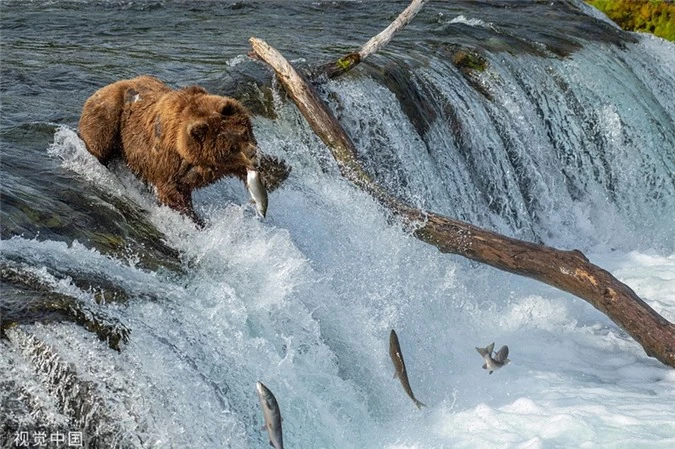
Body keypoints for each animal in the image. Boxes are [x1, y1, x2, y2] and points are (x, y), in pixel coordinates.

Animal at [77, 75, 262, 228]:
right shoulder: (168, 162)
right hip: (109, 120)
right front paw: (194, 219)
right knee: (99, 144)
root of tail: (101, 89)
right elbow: (172, 194)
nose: (254, 156)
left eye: (245, 133)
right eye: (232, 148)